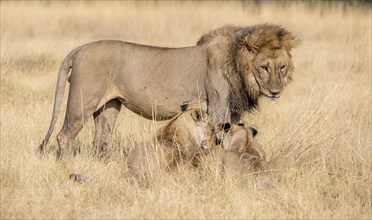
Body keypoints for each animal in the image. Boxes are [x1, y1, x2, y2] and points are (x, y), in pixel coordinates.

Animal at [38, 23, 300, 160]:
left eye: (282, 67)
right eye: (264, 67)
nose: (275, 91)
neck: (237, 65)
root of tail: (77, 50)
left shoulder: (233, 113)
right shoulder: (216, 108)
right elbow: (217, 141)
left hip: (109, 106)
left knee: (101, 139)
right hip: (82, 102)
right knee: (64, 136)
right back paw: (65, 164)